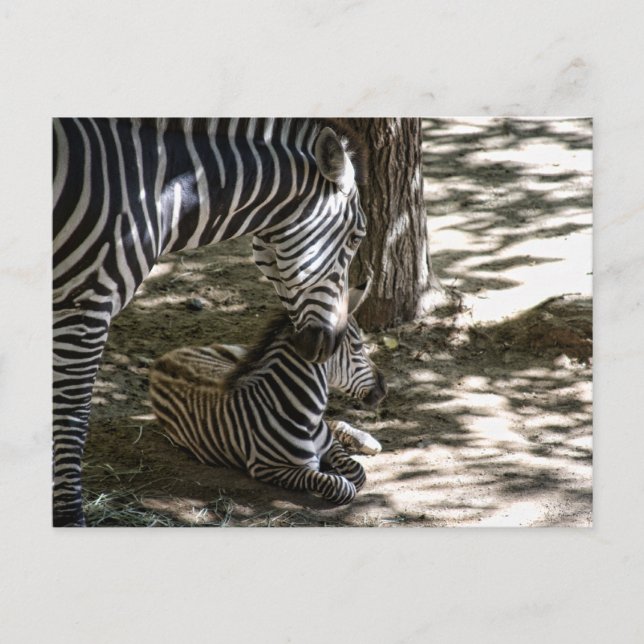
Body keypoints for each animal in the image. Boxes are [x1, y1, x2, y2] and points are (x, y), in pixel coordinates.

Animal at [149, 283, 387, 505]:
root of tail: (163, 359)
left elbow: (357, 471)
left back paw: (365, 440)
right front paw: (334, 476)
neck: (306, 418)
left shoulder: (329, 445)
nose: (385, 387)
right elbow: (340, 486)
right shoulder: (269, 468)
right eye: (357, 347)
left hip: (238, 358)